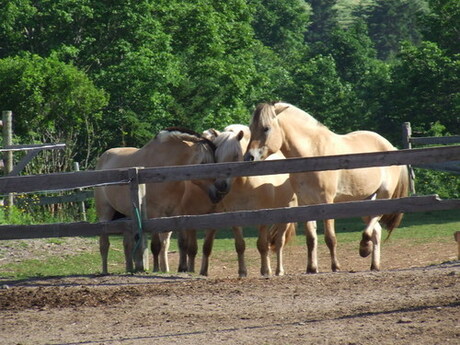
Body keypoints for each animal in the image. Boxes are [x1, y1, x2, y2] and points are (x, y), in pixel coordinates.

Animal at [94, 126, 217, 274]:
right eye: (203, 162)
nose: (218, 190)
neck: (162, 171)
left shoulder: (177, 213)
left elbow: (180, 242)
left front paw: (181, 268)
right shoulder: (154, 214)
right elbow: (156, 245)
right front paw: (156, 268)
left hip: (128, 216)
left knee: (127, 244)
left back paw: (129, 269)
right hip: (105, 214)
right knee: (104, 244)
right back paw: (105, 271)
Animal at [206, 122, 298, 276]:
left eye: (235, 155)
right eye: (216, 156)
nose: (220, 185)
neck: (247, 184)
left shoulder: (263, 217)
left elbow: (262, 245)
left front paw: (265, 271)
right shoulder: (234, 217)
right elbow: (240, 245)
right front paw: (242, 272)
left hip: (285, 214)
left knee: (279, 243)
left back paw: (278, 271)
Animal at [246, 102, 408, 272]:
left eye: (266, 128)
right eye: (251, 127)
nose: (249, 157)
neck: (312, 154)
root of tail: (391, 147)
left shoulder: (327, 202)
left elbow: (330, 238)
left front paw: (335, 266)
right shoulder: (306, 204)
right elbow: (311, 239)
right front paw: (311, 268)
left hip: (384, 195)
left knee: (374, 221)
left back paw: (364, 248)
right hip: (366, 199)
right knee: (376, 230)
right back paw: (373, 263)